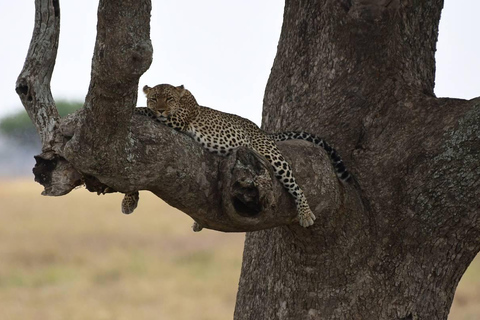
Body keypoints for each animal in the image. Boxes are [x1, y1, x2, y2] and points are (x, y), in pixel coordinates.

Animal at [122, 84, 350, 230]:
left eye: (169, 99)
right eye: (154, 98)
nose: (161, 108)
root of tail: (261, 130)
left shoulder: (177, 120)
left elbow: (149, 113)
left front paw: (136, 109)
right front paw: (128, 201)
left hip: (272, 155)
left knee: (294, 184)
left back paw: (305, 214)